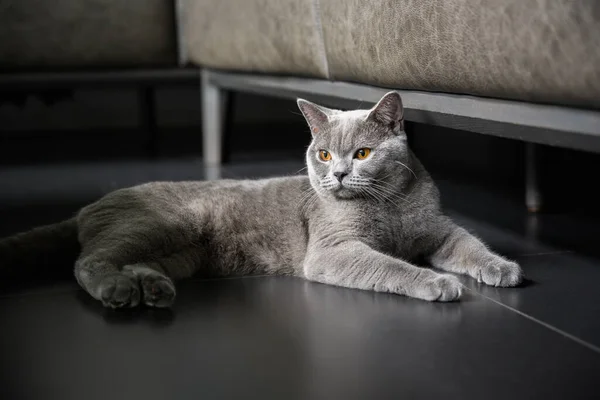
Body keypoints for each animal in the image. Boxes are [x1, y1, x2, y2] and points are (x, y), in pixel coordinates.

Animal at [0, 92, 524, 308]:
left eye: (362, 153)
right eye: (323, 153)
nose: (337, 173)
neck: (389, 205)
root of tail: (86, 208)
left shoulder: (437, 227)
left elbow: (468, 243)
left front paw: (502, 269)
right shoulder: (332, 251)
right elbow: (390, 265)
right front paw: (436, 282)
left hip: (182, 252)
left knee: (131, 261)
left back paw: (152, 288)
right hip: (159, 226)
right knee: (89, 260)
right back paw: (118, 291)